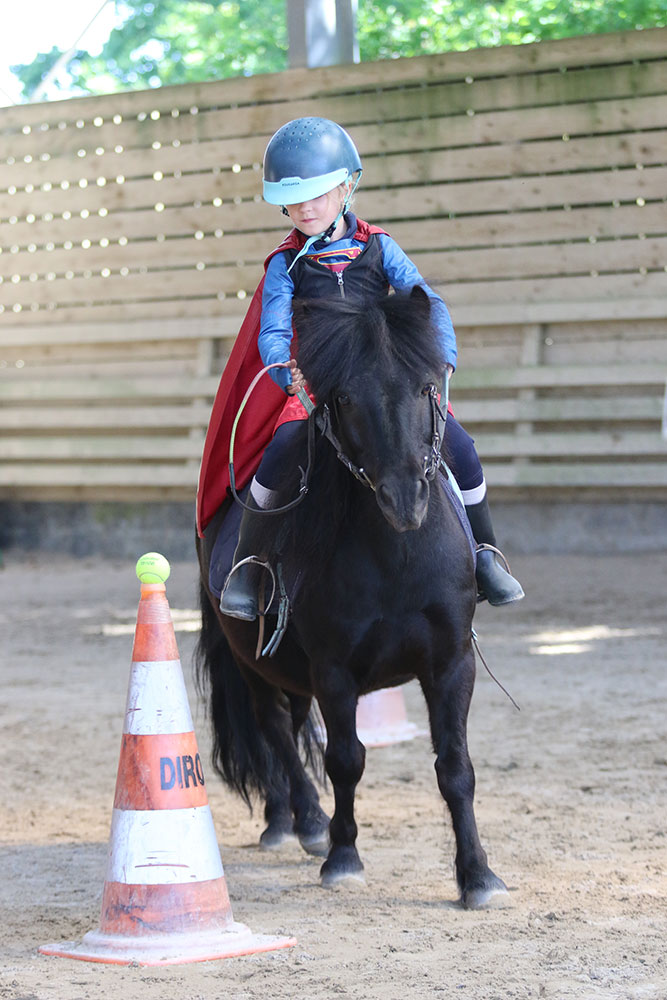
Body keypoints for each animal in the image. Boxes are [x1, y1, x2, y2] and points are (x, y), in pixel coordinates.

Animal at [196, 286, 508, 912]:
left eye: (425, 386)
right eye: (344, 396)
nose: (405, 498)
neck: (398, 556)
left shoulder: (451, 662)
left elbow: (455, 767)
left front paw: (478, 875)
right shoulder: (333, 669)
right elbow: (346, 759)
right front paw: (342, 857)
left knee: (290, 729)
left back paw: (290, 819)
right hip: (253, 662)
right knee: (274, 731)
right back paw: (306, 822)